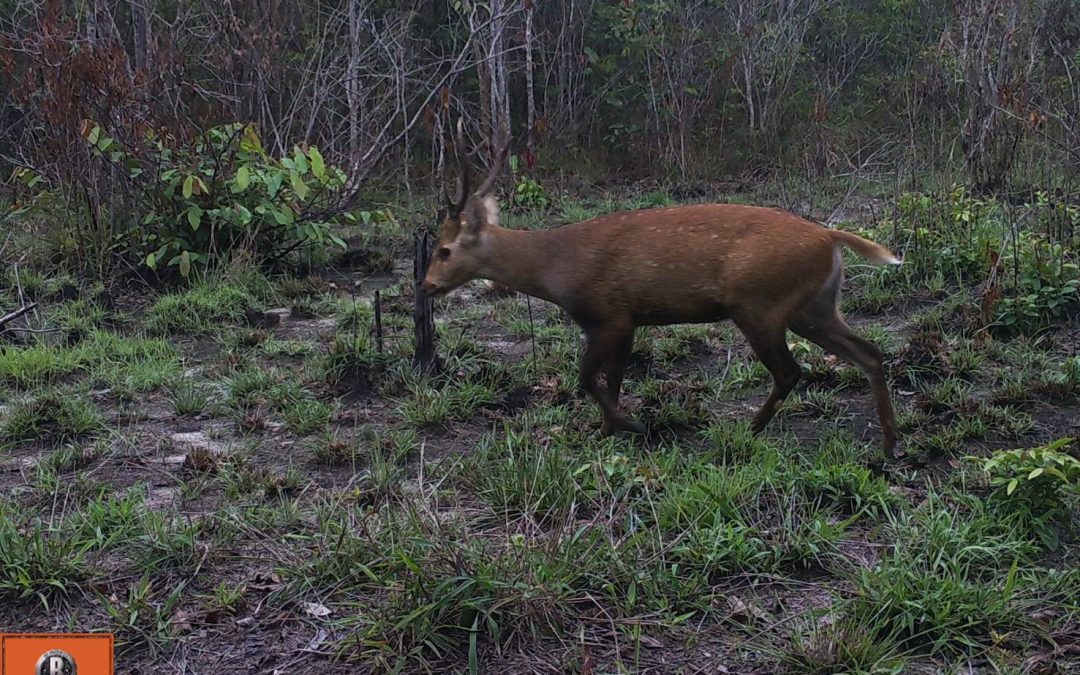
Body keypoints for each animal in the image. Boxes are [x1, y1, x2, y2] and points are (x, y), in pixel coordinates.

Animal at [421, 123, 902, 455]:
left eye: (444, 249)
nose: (426, 286)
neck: (558, 269)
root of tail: (831, 237)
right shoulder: (629, 321)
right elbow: (613, 378)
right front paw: (607, 431)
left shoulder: (608, 314)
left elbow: (586, 377)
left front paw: (630, 425)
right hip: (814, 306)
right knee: (869, 353)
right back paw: (887, 445)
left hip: (759, 303)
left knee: (789, 371)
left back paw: (746, 432)